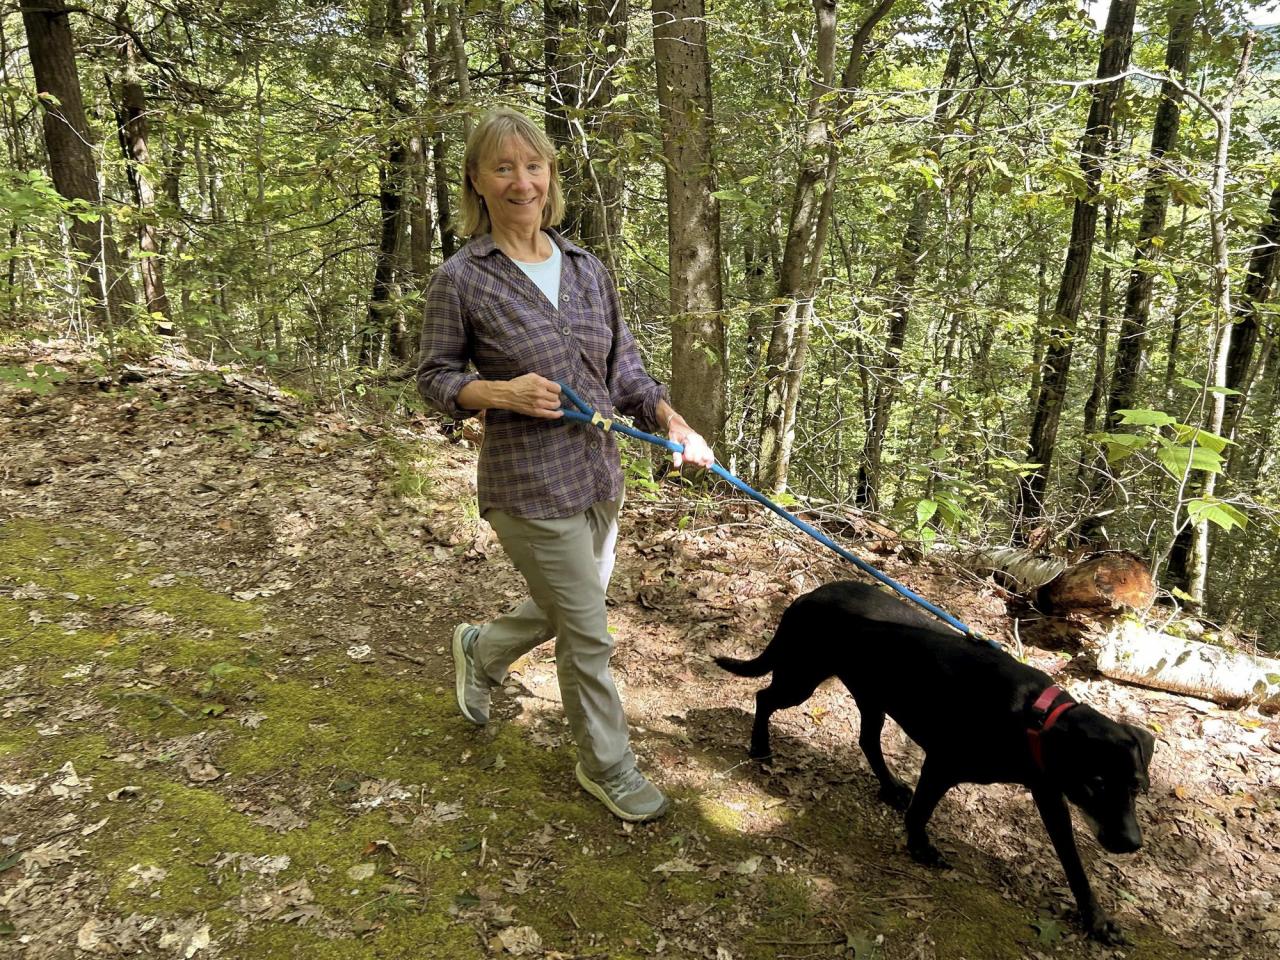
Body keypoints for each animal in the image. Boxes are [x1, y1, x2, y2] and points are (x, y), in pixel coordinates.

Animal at [716, 583, 1157, 942]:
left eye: (1136, 785)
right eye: (1096, 783)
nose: (1132, 843)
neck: (1033, 718)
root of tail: (808, 596)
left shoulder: (1050, 795)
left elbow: (1073, 863)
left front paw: (1096, 920)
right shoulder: (942, 764)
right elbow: (921, 812)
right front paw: (919, 847)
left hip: (872, 696)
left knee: (867, 741)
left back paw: (890, 787)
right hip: (803, 678)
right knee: (764, 698)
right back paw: (760, 747)